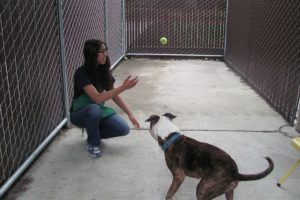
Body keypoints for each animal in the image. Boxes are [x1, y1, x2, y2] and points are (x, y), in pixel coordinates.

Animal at [145, 112, 274, 200]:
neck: (170, 136)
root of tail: (234, 173)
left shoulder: (178, 176)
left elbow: (170, 193)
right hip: (229, 191)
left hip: (203, 188)